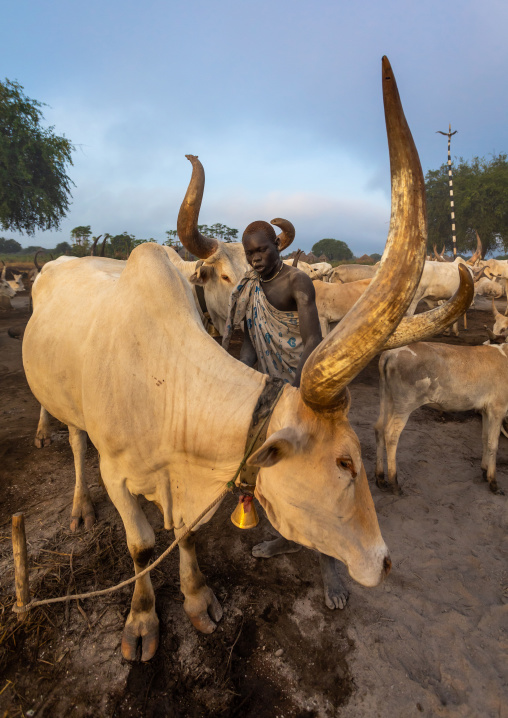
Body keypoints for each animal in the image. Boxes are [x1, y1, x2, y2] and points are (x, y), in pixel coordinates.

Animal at [22, 57, 472, 661]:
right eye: (345, 464)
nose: (384, 561)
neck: (164, 384)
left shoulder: (189, 484)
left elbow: (185, 534)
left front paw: (197, 600)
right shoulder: (117, 474)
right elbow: (141, 546)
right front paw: (141, 621)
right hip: (68, 410)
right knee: (74, 444)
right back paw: (78, 507)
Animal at [375, 340, 508, 496]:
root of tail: (391, 352)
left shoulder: (486, 410)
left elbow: (485, 439)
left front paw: (485, 471)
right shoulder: (498, 408)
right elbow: (493, 444)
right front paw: (494, 483)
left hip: (387, 398)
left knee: (379, 429)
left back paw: (380, 479)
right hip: (404, 404)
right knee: (391, 435)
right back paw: (394, 484)